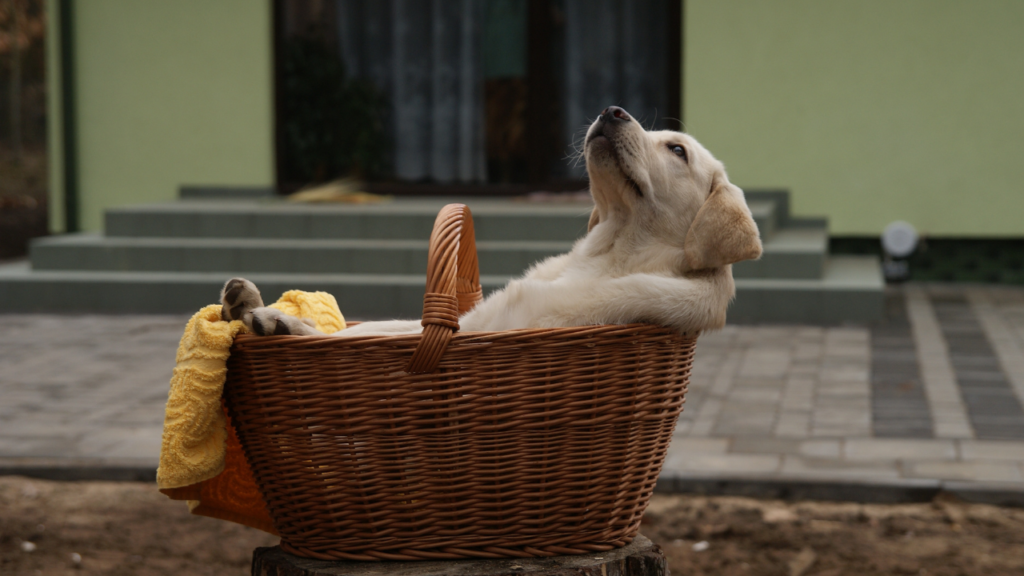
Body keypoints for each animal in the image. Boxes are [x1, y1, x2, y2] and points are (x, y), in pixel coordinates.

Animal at [226, 105, 770, 334]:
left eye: (677, 150)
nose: (612, 110)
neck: (608, 254)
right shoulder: (465, 321)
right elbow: (359, 333)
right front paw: (273, 314)